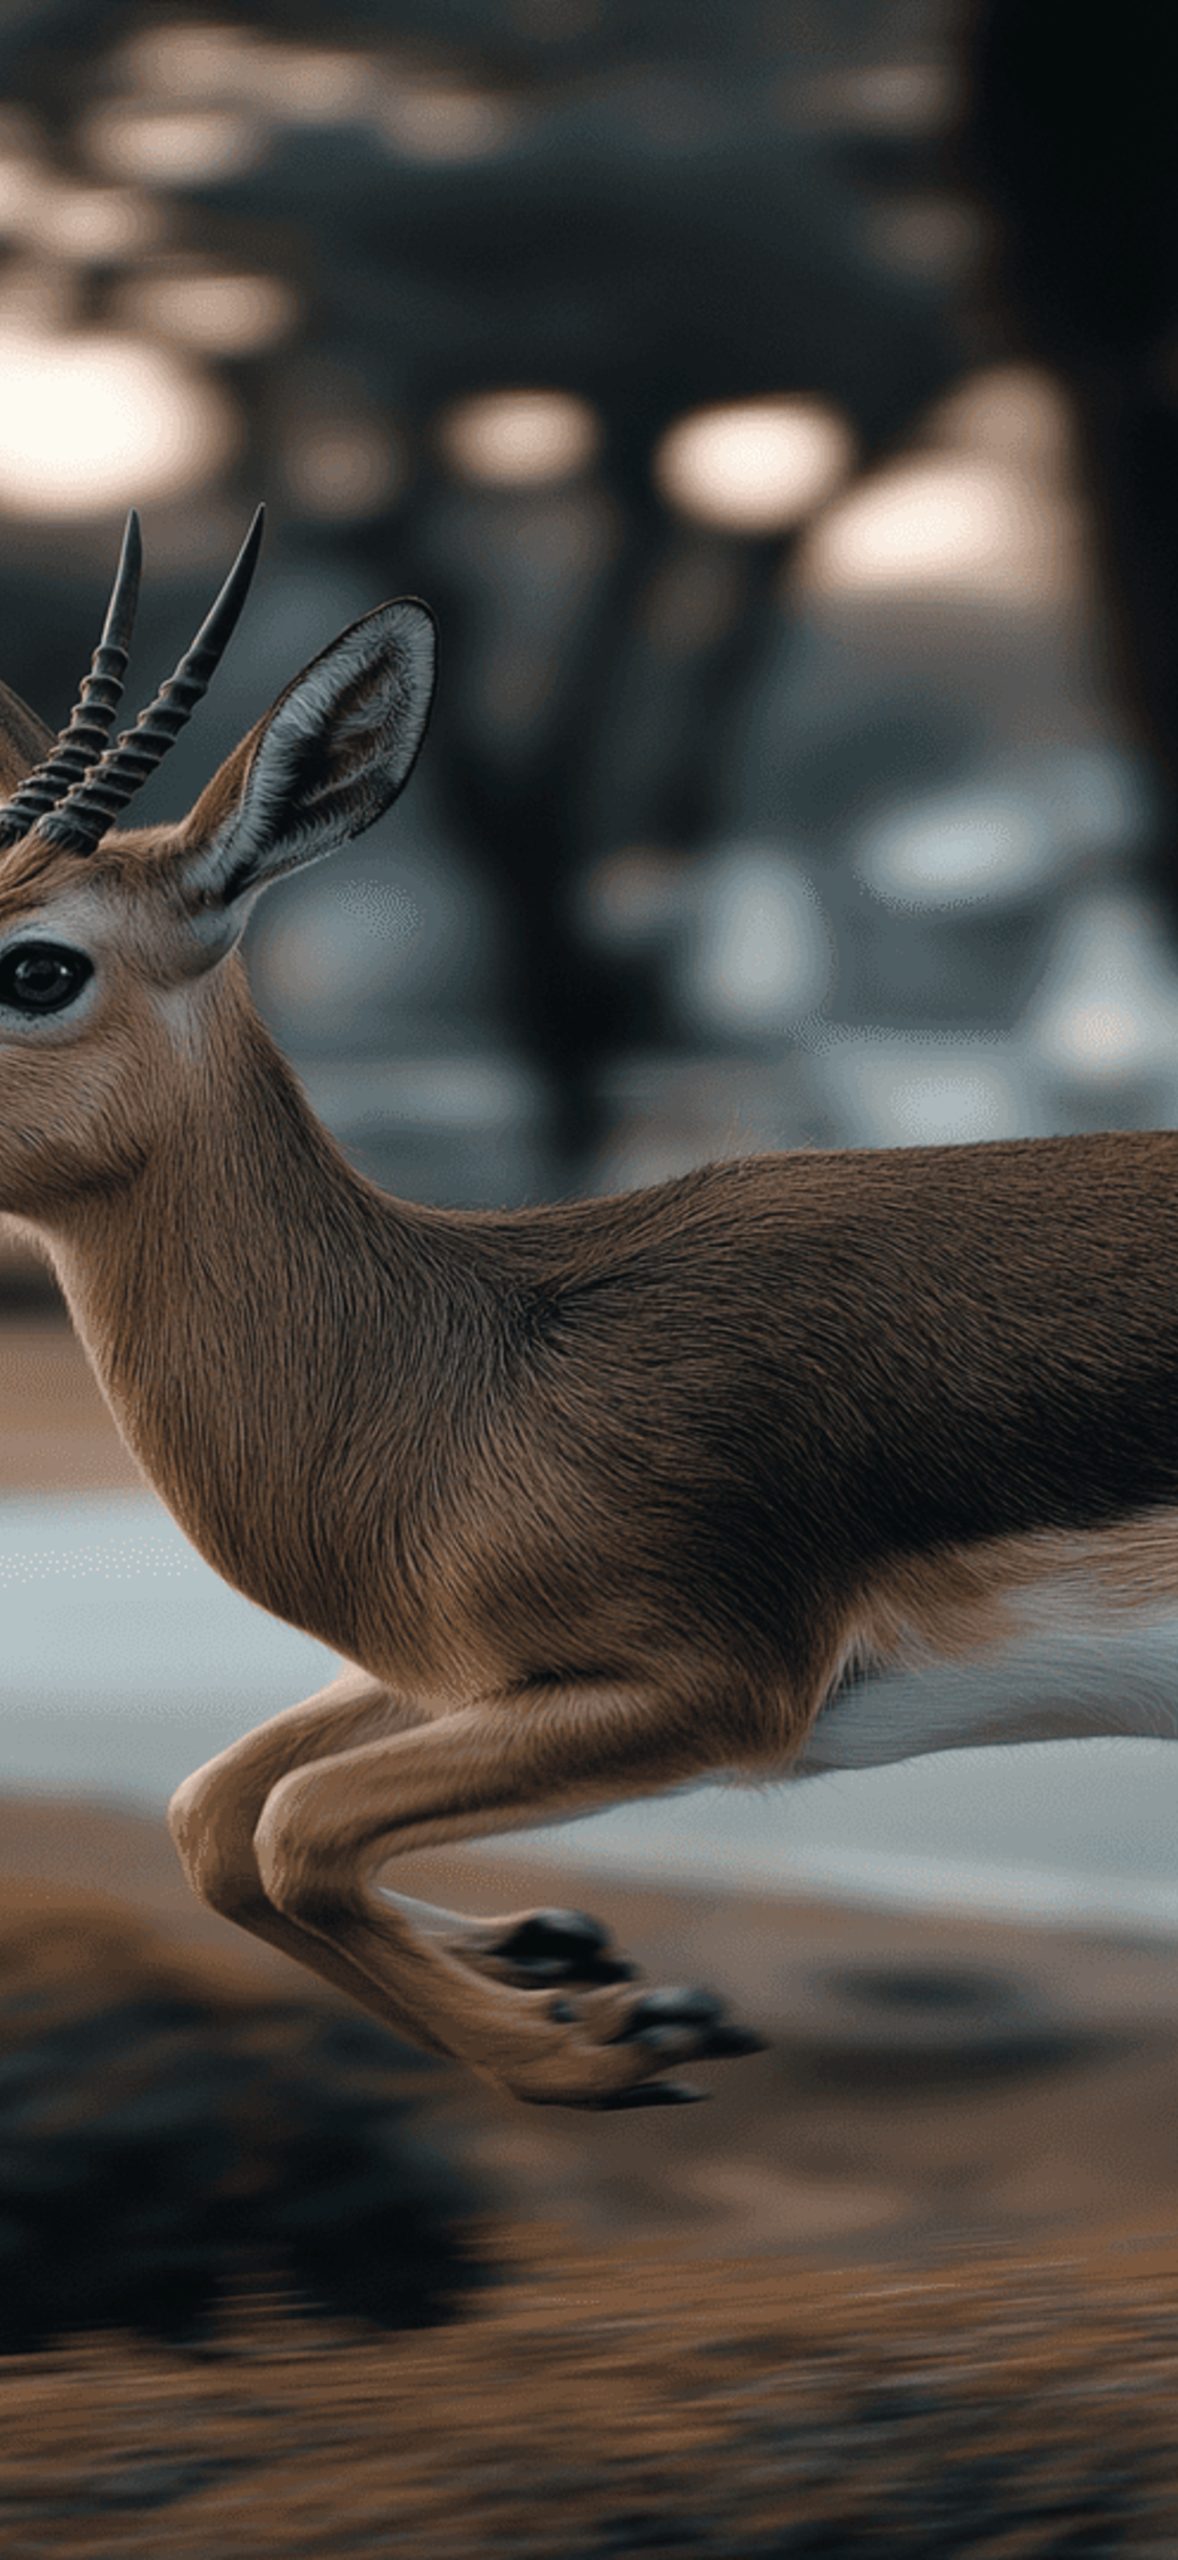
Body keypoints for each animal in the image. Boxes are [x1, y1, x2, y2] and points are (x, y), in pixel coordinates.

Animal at [5, 513, 1178, 2112]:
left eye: (36, 964)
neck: (463, 1371)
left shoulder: (715, 1689)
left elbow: (293, 1825)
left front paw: (613, 2041)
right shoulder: (469, 1670)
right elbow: (217, 1811)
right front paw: (561, 1959)